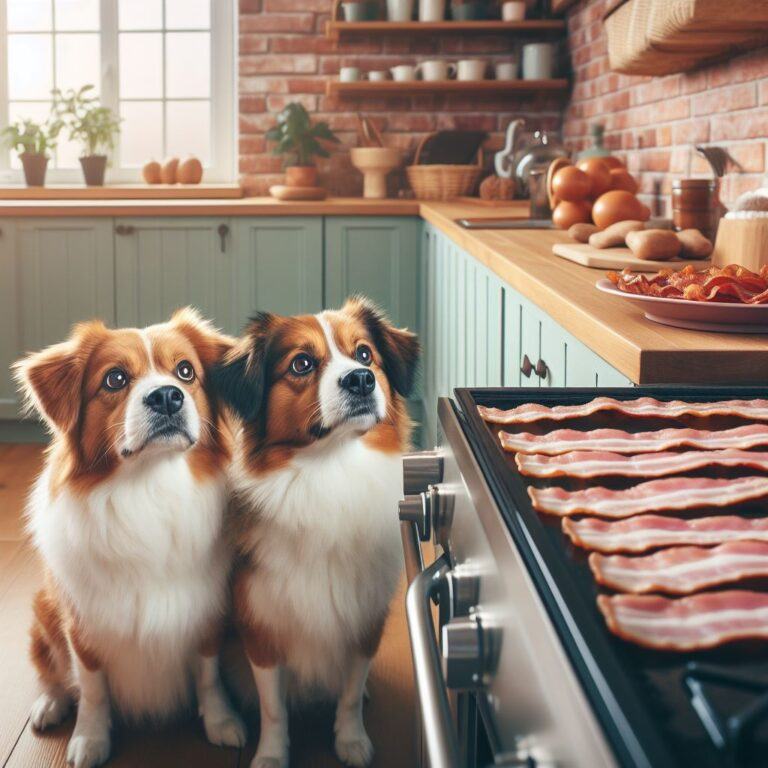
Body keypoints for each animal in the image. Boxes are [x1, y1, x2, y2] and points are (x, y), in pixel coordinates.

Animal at [15, 308, 246, 768]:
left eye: (185, 371)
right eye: (115, 379)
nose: (167, 397)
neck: (149, 487)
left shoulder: (207, 612)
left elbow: (208, 675)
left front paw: (221, 722)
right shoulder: (83, 624)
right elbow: (92, 689)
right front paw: (90, 739)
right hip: (45, 607)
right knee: (48, 668)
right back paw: (50, 704)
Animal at [212, 298, 420, 768]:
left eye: (364, 355)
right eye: (302, 363)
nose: (360, 380)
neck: (330, 471)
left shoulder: (364, 620)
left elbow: (348, 693)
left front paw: (351, 740)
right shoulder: (261, 627)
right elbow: (273, 708)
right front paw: (271, 756)